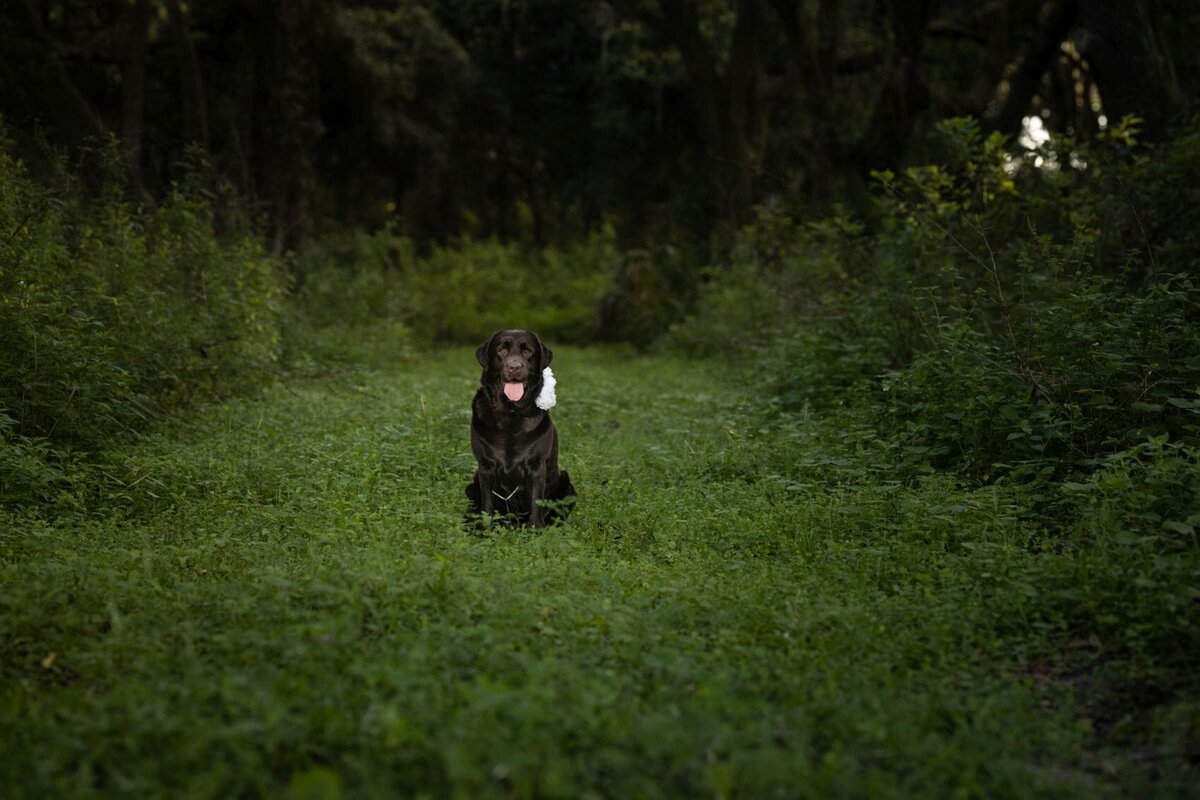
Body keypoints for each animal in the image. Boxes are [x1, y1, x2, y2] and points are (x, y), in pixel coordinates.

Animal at [465, 328, 573, 527]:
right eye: (501, 350)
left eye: (528, 351)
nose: (514, 367)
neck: (511, 412)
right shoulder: (485, 466)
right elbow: (487, 502)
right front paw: (485, 528)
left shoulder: (536, 466)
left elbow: (536, 501)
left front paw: (536, 528)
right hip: (473, 482)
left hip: (565, 480)